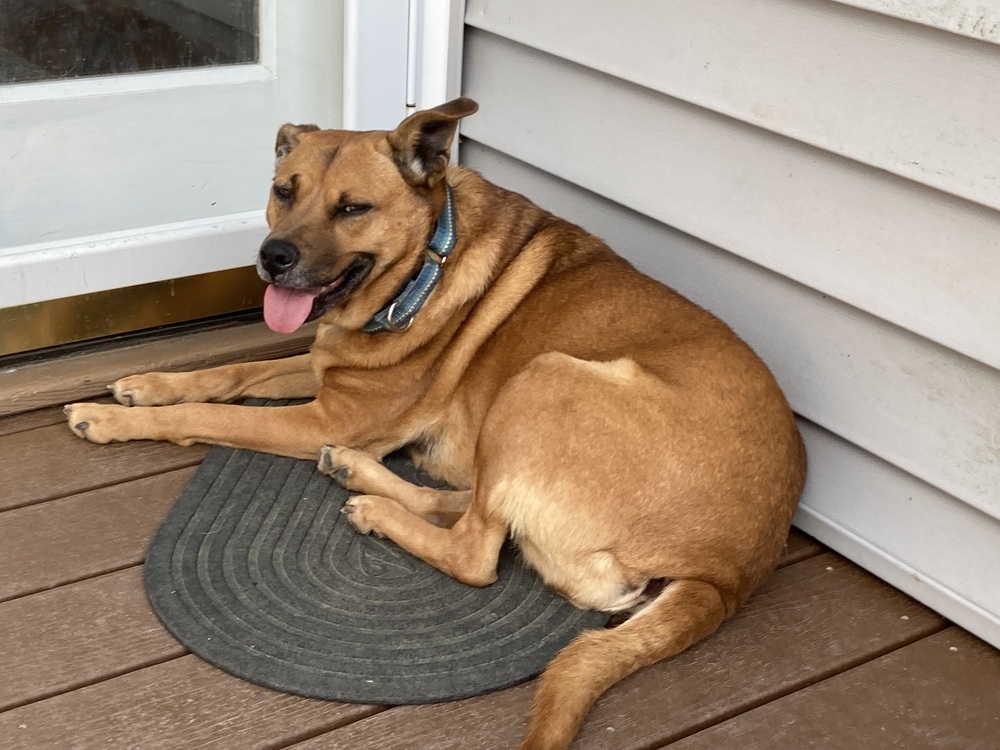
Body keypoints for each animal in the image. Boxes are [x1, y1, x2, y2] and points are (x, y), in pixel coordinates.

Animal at [64, 100, 804, 750]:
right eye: (283, 191)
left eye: (352, 209)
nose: (273, 257)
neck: (420, 270)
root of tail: (731, 573)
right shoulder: (323, 376)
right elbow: (229, 373)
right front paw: (145, 386)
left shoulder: (325, 413)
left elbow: (209, 412)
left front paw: (106, 417)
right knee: (468, 506)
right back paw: (357, 475)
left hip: (544, 378)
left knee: (475, 551)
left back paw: (375, 507)